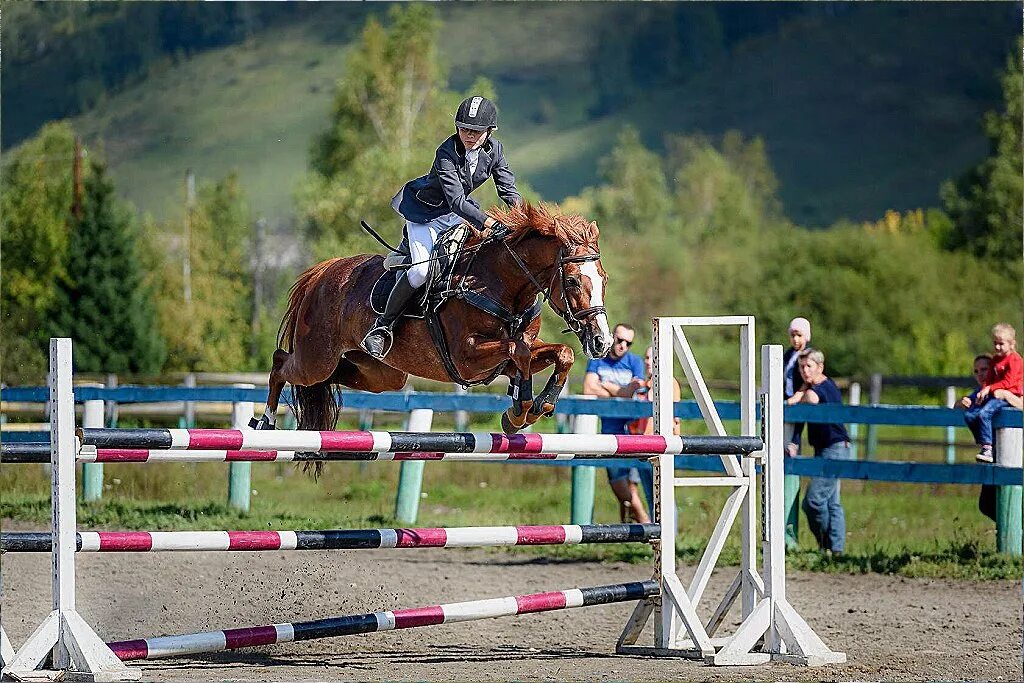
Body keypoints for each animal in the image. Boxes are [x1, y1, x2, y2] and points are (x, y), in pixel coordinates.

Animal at [258, 202, 606, 448]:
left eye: (604, 279)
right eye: (572, 281)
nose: (600, 342)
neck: (500, 284)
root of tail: (322, 272)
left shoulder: (505, 358)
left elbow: (560, 353)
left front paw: (536, 405)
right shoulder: (467, 359)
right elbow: (517, 350)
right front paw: (520, 409)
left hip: (381, 374)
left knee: (331, 377)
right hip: (316, 358)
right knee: (281, 364)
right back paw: (264, 423)